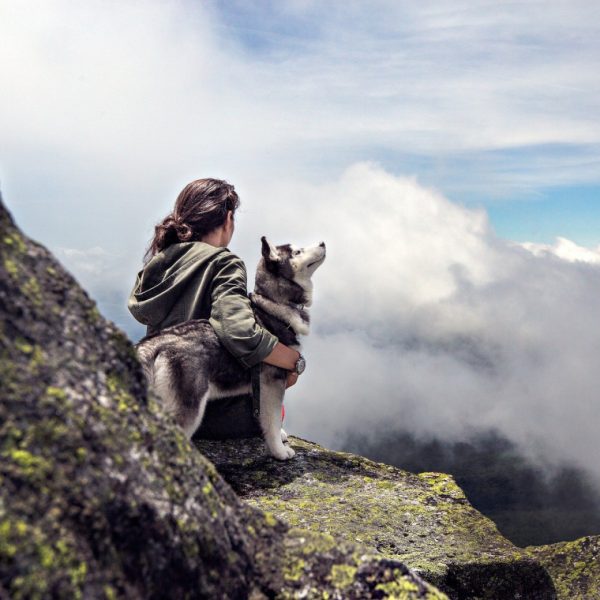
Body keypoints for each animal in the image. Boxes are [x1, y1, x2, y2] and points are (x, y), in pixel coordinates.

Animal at [134, 238, 326, 460]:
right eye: (297, 252)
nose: (323, 242)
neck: (273, 304)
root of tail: (153, 343)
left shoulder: (260, 390)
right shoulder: (272, 384)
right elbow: (273, 419)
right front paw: (279, 451)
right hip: (189, 406)